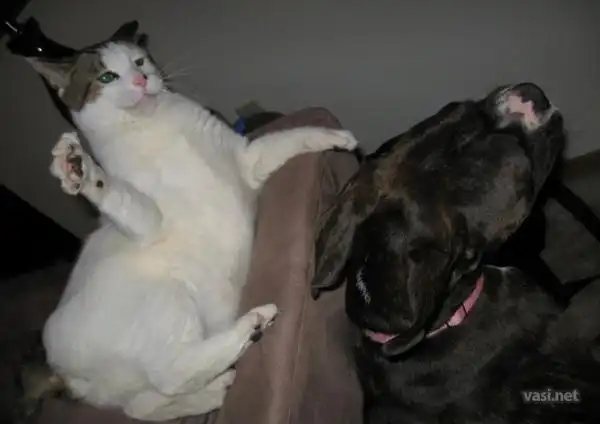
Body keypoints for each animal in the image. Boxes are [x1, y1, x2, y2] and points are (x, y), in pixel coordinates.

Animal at [23, 21, 358, 421]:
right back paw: (252, 326)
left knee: (145, 404)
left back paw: (217, 389)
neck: (156, 126)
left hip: (140, 378)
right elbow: (118, 195)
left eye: (139, 61)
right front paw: (80, 169)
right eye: (107, 76)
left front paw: (337, 137)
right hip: (167, 300)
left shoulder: (248, 157)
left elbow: (293, 136)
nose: (141, 80)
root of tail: (61, 374)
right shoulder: (149, 221)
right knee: (171, 373)